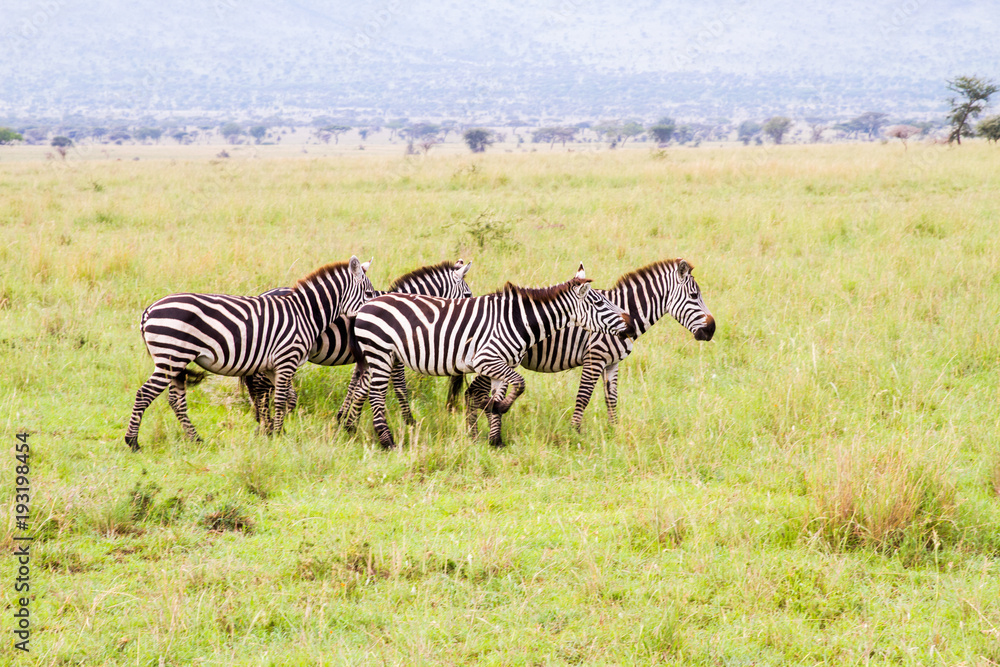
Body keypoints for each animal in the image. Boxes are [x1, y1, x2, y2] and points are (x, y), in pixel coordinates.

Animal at [124, 256, 373, 451]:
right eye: (370, 293)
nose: (373, 313)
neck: (305, 313)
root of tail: (148, 311)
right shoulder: (287, 359)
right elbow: (280, 399)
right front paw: (278, 434)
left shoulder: (275, 365)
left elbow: (287, 398)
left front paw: (273, 430)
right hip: (171, 358)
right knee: (144, 394)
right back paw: (133, 442)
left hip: (177, 361)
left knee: (176, 400)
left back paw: (196, 439)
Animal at [243, 259, 474, 428]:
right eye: (468, 294)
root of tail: (264, 294)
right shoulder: (392, 355)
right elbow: (399, 386)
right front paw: (409, 421)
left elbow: (355, 385)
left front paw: (342, 417)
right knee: (260, 383)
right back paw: (265, 417)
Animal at [341, 265, 637, 449]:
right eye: (599, 302)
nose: (631, 324)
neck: (518, 321)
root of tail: (368, 303)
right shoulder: (488, 360)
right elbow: (520, 384)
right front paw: (497, 411)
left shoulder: (501, 365)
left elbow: (498, 393)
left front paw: (495, 437)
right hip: (380, 353)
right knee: (376, 395)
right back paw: (387, 442)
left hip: (381, 356)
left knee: (366, 390)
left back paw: (354, 428)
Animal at [464, 258, 714, 435]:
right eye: (694, 295)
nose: (711, 330)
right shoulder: (595, 357)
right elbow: (583, 397)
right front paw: (575, 431)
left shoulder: (612, 363)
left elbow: (611, 398)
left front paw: (614, 430)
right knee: (474, 392)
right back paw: (476, 434)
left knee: (471, 392)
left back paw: (472, 434)